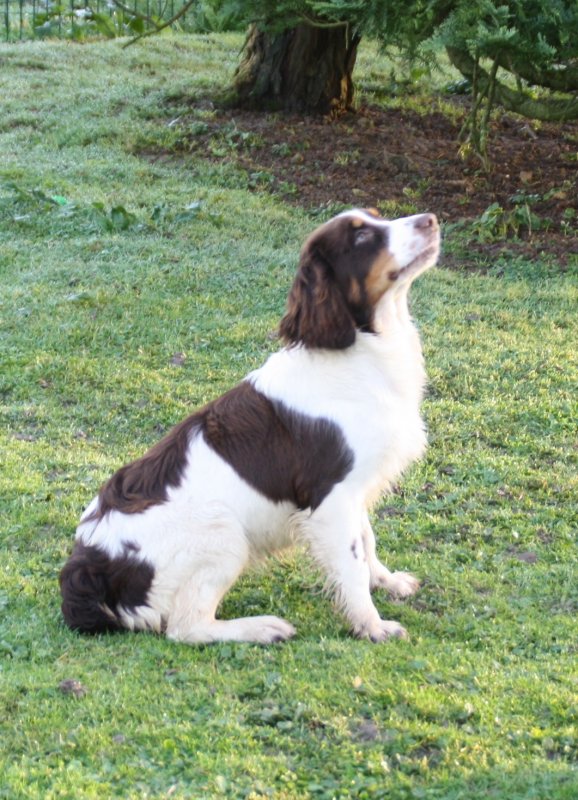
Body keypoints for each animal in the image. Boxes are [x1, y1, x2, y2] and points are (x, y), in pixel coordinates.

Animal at [59, 206, 436, 644]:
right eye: (361, 238)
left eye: (377, 217)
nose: (430, 219)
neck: (359, 352)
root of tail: (88, 565)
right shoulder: (331, 496)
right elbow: (352, 562)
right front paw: (373, 625)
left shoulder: (353, 490)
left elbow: (367, 541)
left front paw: (387, 581)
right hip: (223, 532)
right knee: (187, 627)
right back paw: (263, 627)